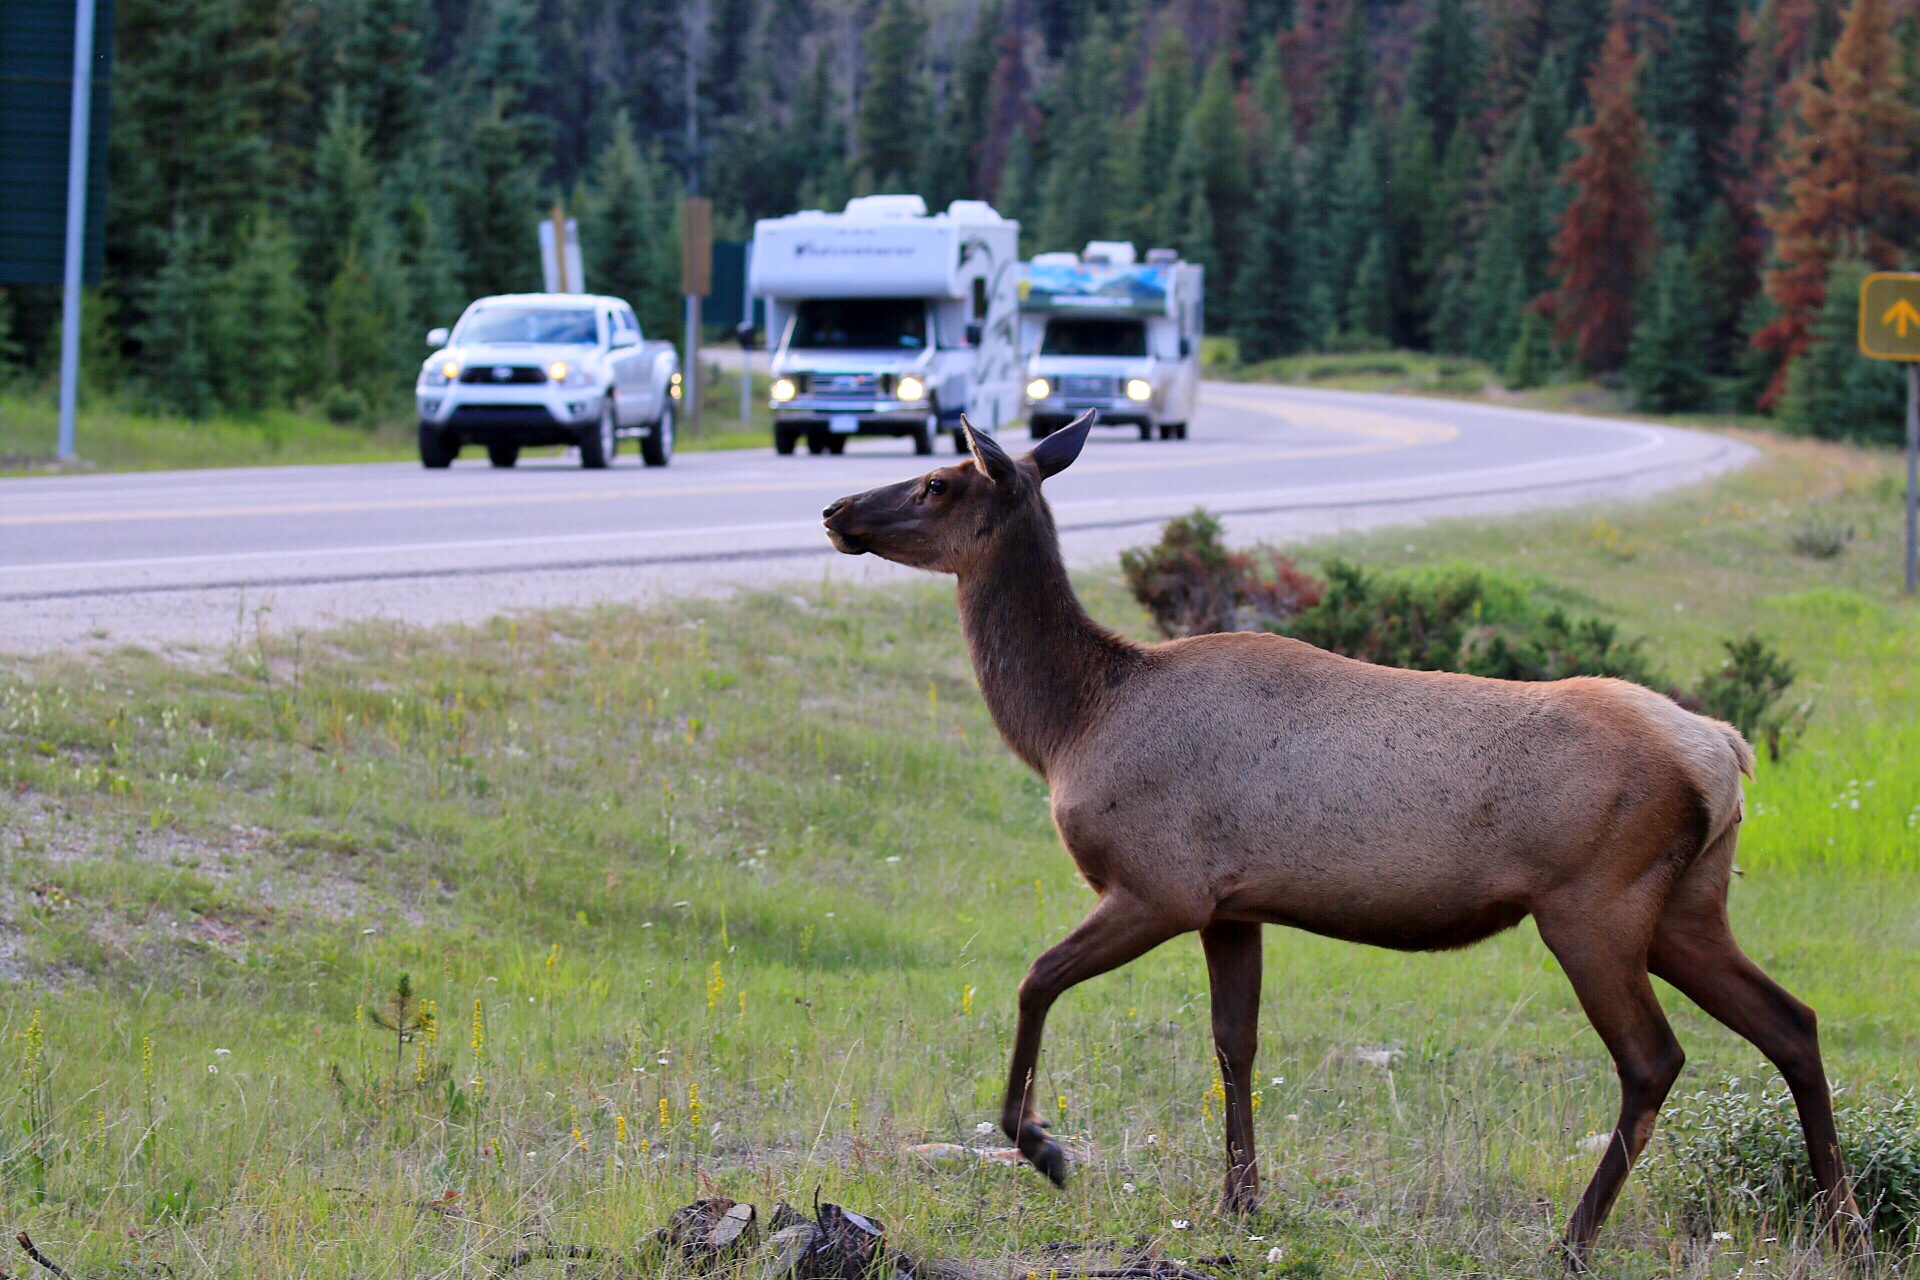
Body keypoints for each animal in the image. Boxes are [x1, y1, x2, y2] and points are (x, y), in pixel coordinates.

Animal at [817, 412, 1866, 1274]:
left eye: (939, 481)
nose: (834, 508)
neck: (1072, 723)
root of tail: (1724, 752)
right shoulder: (1230, 906)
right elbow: (1235, 1043)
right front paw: (1241, 1202)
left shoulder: (1160, 883)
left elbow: (1035, 979)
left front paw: (1042, 1146)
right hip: (1688, 904)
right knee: (1793, 1021)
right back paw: (1844, 1227)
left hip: (1594, 904)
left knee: (1654, 1058)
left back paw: (1574, 1239)